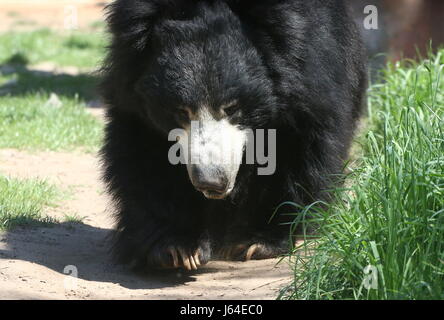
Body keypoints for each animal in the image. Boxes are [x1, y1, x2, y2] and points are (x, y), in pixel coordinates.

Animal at [99, 0, 364, 272]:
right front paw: (176, 247)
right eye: (181, 111)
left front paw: (258, 241)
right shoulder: (133, 95)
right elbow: (144, 155)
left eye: (232, 107)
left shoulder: (310, 76)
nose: (210, 181)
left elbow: (299, 149)